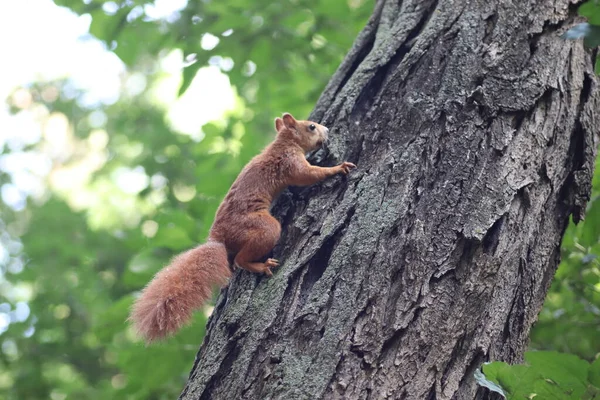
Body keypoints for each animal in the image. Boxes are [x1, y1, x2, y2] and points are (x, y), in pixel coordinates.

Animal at [130, 111, 356, 340]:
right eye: (311, 127)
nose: (327, 130)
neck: (283, 143)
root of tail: (218, 239)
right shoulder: (289, 162)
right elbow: (309, 175)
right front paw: (337, 168)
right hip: (261, 227)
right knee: (241, 259)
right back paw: (260, 265)